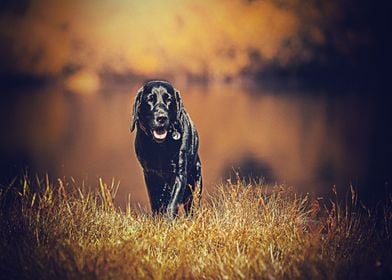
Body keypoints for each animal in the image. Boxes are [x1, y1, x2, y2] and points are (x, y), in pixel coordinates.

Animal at [130, 80, 202, 218]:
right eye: (150, 99)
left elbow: (172, 203)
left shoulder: (180, 174)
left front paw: (169, 220)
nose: (161, 117)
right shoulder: (150, 173)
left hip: (195, 182)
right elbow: (155, 202)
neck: (160, 147)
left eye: (169, 99)